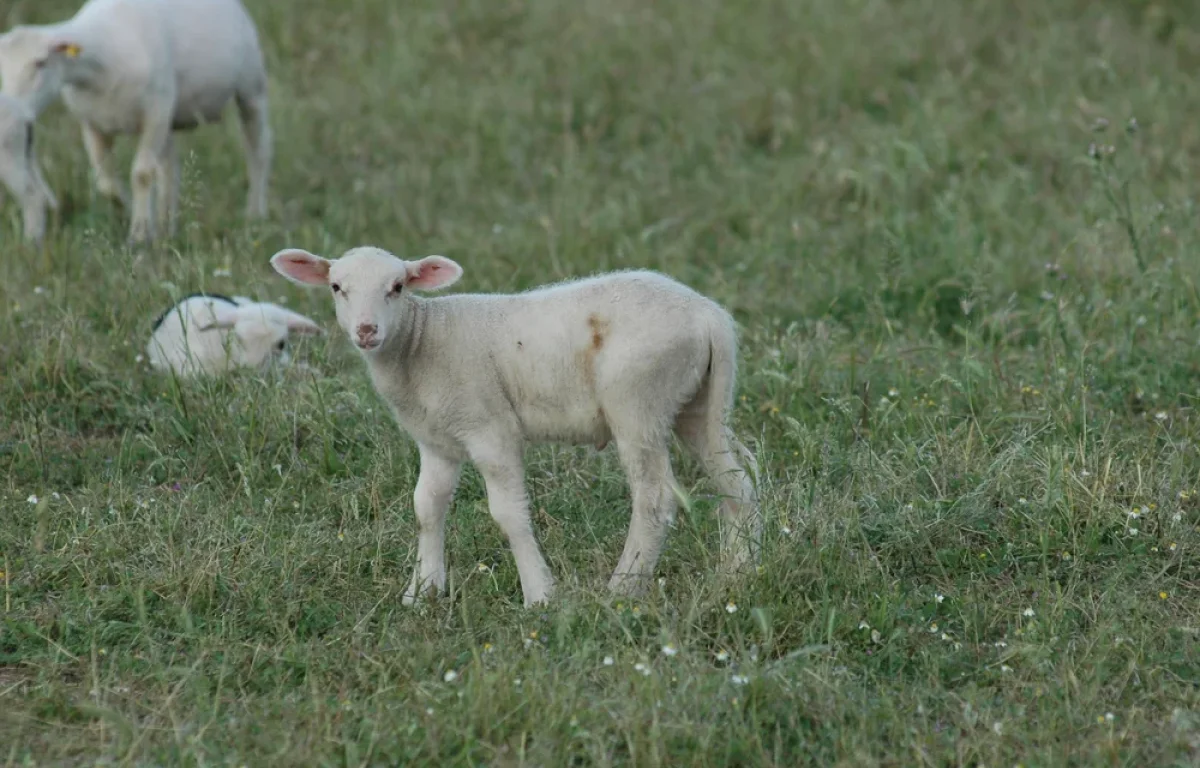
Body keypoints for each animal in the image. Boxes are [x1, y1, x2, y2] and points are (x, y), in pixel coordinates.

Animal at [270, 246, 758, 604]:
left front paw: (540, 595)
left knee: (655, 498)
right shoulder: (437, 439)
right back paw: (738, 571)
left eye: (397, 286)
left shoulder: (490, 428)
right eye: (337, 287)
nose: (367, 331)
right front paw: (423, 591)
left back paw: (623, 588)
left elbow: (508, 513)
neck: (421, 343)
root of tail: (709, 315)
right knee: (738, 479)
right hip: (696, 403)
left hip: (639, 400)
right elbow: (426, 506)